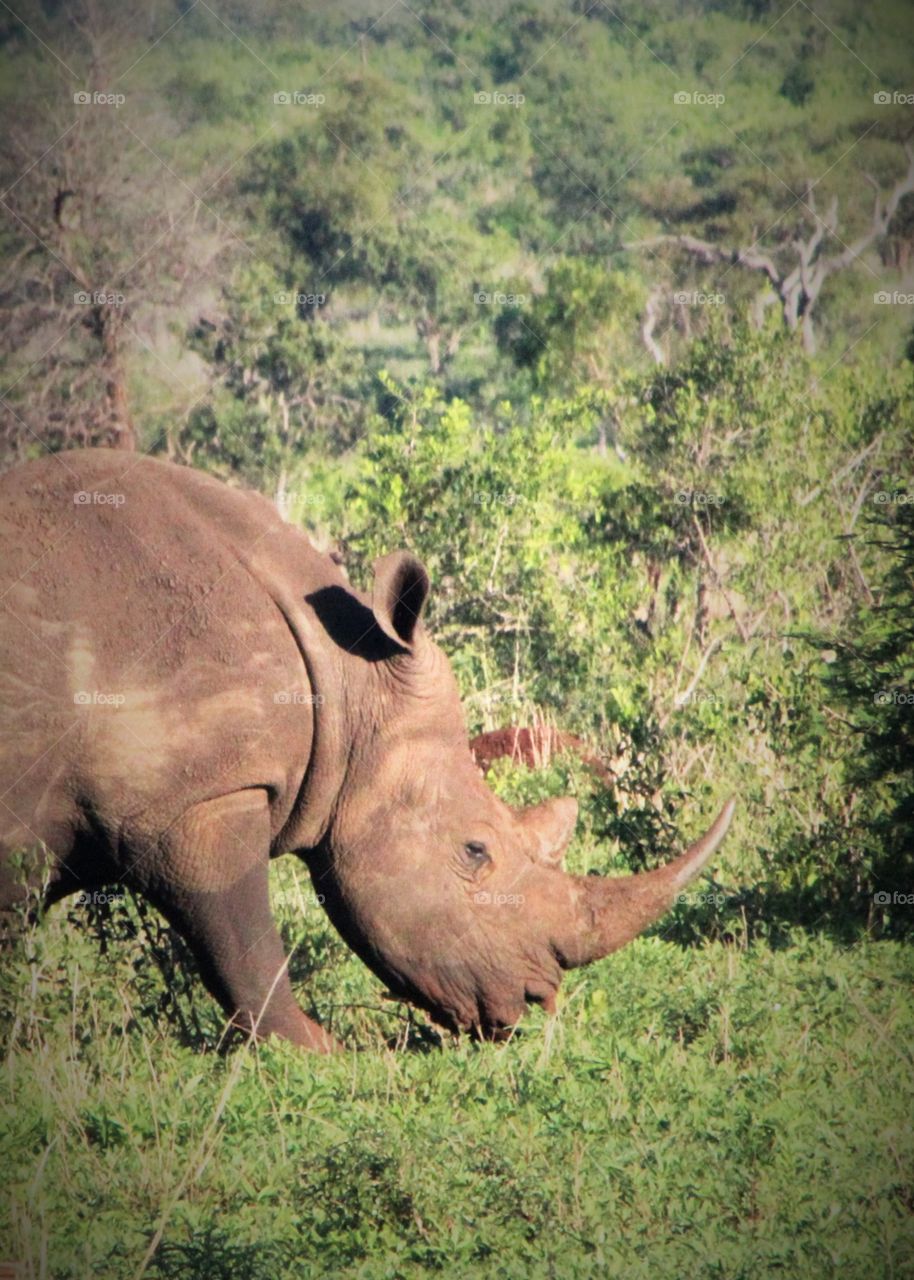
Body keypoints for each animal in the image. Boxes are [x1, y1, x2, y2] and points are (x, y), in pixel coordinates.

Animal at [0, 450, 734, 1052]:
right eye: (475, 852)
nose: (536, 998)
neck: (348, 680)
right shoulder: (200, 798)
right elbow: (244, 943)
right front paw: (317, 1053)